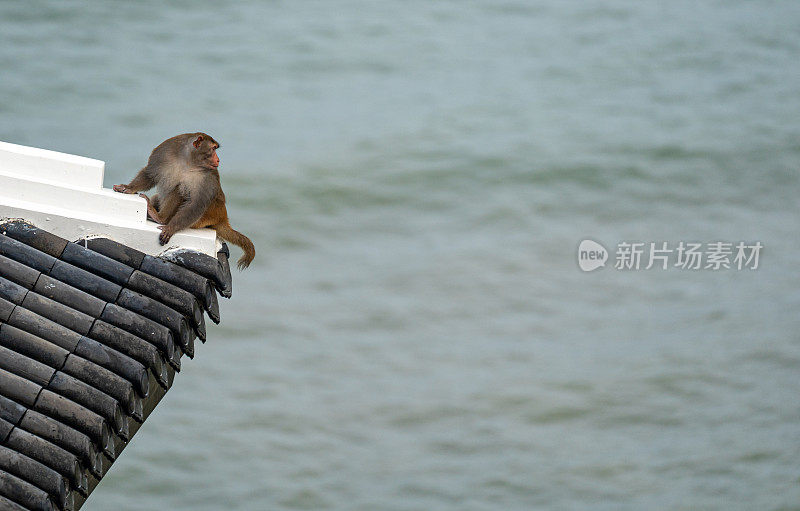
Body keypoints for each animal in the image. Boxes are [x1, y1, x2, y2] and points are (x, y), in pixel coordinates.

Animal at [112, 132, 255, 270]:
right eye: (213, 149)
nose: (218, 159)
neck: (188, 161)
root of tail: (222, 217)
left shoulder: (208, 178)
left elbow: (195, 204)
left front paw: (171, 227)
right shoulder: (163, 152)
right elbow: (150, 175)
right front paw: (129, 188)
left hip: (202, 220)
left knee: (181, 189)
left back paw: (160, 218)